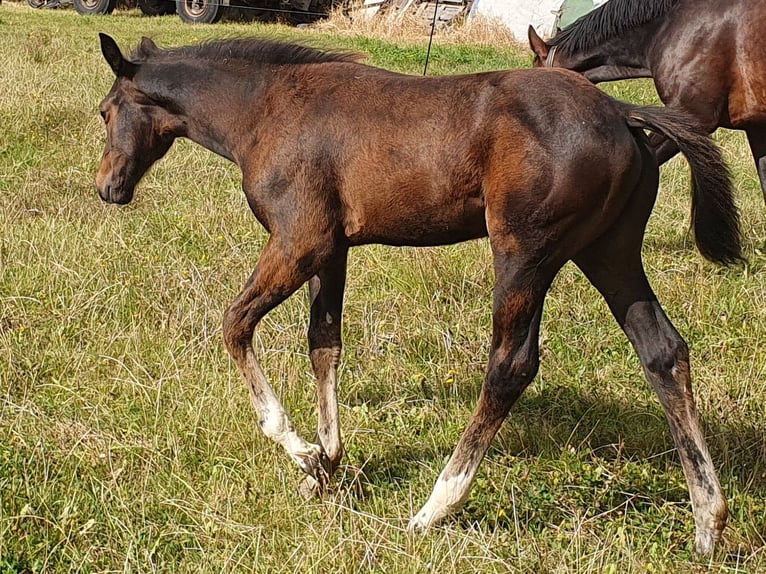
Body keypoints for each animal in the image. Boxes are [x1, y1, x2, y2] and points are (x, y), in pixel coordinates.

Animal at [93, 32, 740, 560]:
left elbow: (234, 325)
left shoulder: (298, 241)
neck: (265, 110)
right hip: (609, 253)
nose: (107, 188)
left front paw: (300, 450)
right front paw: (326, 465)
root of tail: (623, 112)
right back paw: (708, 522)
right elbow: (323, 343)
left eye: (104, 112)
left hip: (526, 255)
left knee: (511, 365)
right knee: (663, 352)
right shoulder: (332, 249)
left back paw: (435, 507)